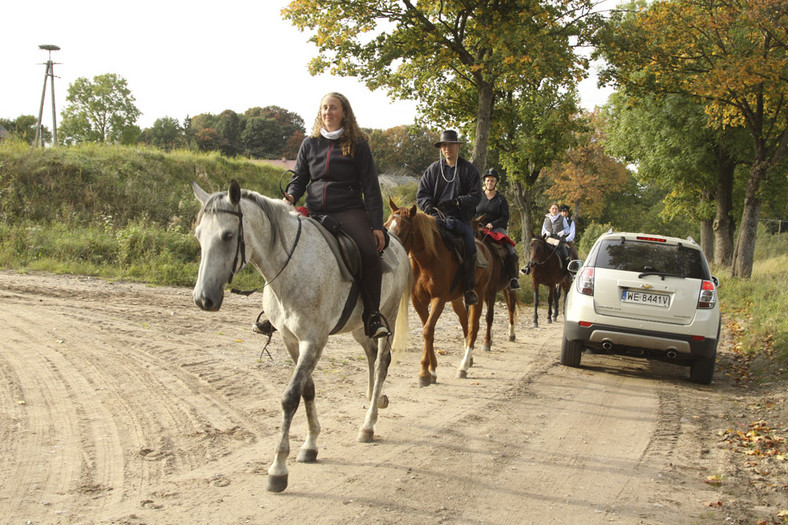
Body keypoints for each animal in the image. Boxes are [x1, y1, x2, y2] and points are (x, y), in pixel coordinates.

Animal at [192, 179, 412, 492]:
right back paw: (373, 400)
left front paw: (278, 468)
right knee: (370, 355)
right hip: (359, 327)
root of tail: (394, 239)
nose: (203, 299)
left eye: (227, 235)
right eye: (199, 235)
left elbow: (290, 397)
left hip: (388, 317)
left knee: (382, 362)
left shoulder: (314, 341)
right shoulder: (291, 340)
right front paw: (310, 445)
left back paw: (368, 424)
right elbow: (308, 389)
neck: (292, 265)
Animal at [386, 200, 492, 384]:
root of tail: (484, 248)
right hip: (457, 300)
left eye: (402, 231)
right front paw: (432, 370)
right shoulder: (418, 301)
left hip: (478, 296)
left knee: (473, 328)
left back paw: (463, 367)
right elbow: (428, 330)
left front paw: (424, 372)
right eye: (386, 226)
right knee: (464, 323)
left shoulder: (439, 299)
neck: (428, 260)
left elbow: (428, 330)